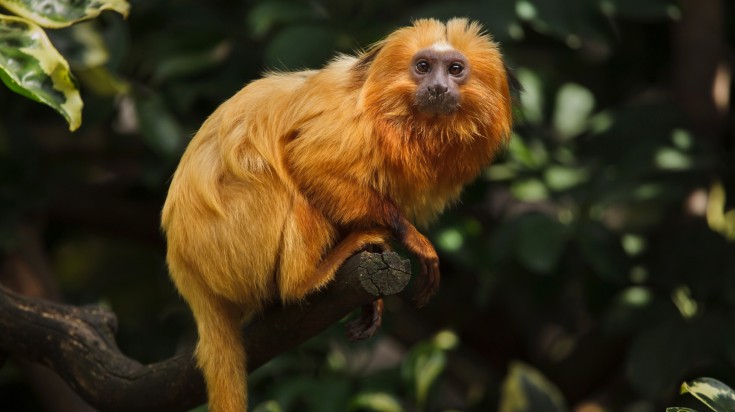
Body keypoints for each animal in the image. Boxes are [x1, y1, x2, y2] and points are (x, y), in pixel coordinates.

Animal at [162, 16, 516, 412]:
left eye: (455, 70)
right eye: (423, 67)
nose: (437, 87)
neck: (403, 121)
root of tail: (186, 269)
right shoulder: (350, 123)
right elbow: (309, 161)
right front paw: (411, 238)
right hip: (228, 238)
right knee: (284, 183)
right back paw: (309, 277)